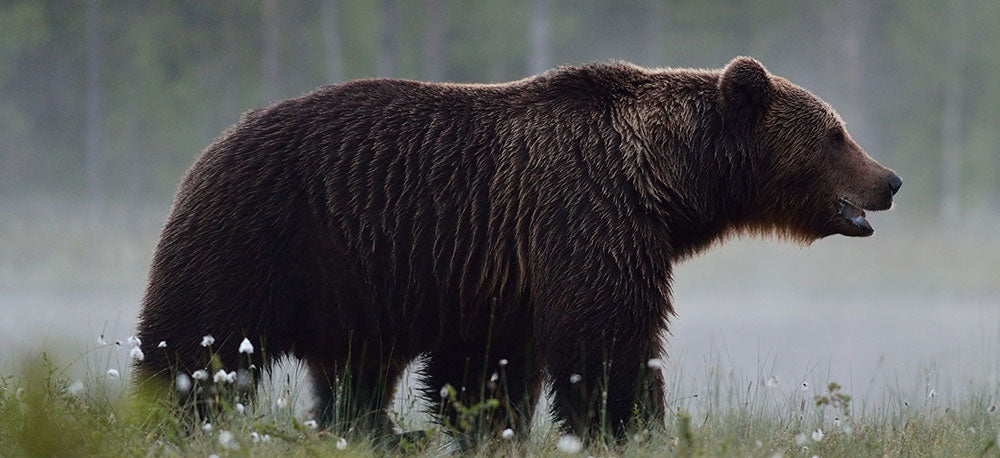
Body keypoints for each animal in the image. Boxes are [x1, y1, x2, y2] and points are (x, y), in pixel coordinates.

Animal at [135, 55, 900, 446]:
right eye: (835, 133)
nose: (889, 180)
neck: (661, 183)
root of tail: (211, 147)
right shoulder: (585, 216)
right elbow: (607, 340)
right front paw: (632, 424)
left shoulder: (500, 271)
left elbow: (488, 368)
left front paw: (489, 427)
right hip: (259, 236)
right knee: (196, 345)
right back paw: (169, 414)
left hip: (355, 284)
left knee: (356, 372)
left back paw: (379, 430)